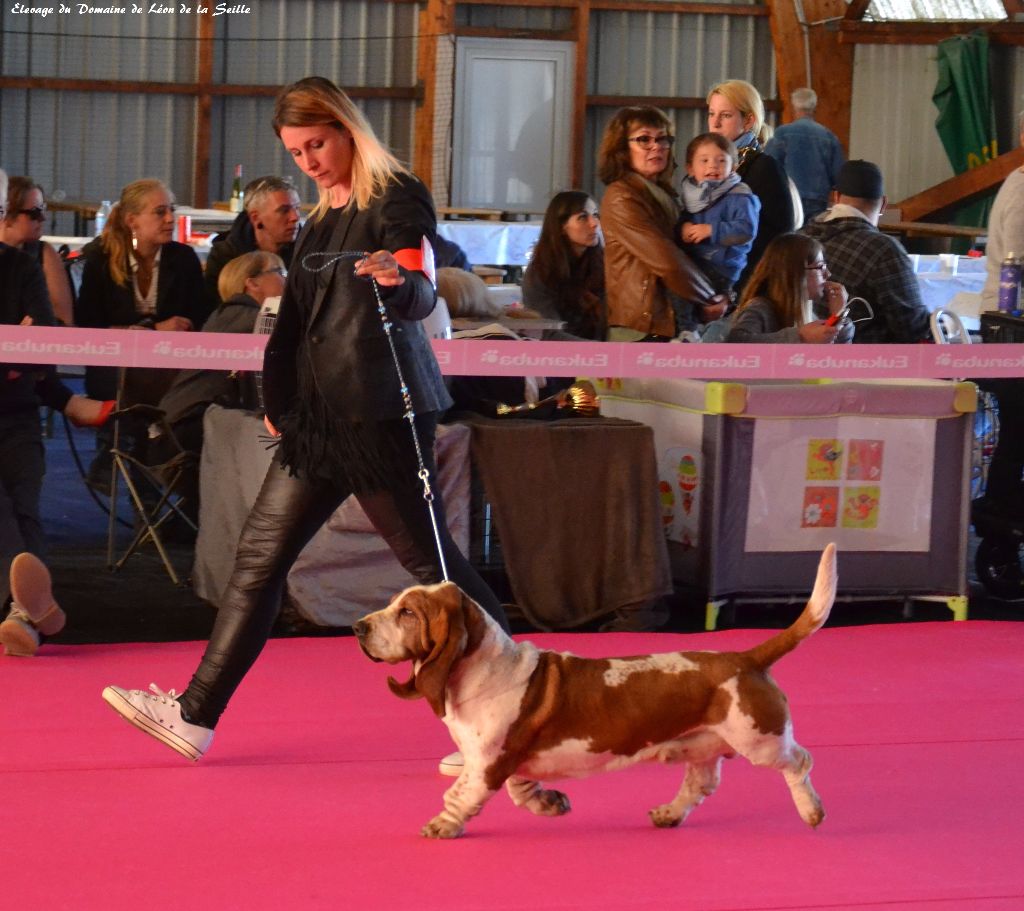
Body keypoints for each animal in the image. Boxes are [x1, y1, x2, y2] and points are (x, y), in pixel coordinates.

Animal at [353, 544, 837, 839]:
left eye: (408, 612)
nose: (358, 627)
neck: (481, 667)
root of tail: (747, 657)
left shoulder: (488, 763)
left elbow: (463, 796)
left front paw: (442, 826)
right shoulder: (503, 760)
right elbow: (519, 789)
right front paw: (550, 803)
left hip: (760, 740)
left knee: (801, 762)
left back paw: (812, 811)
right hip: (702, 744)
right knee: (701, 784)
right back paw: (668, 814)